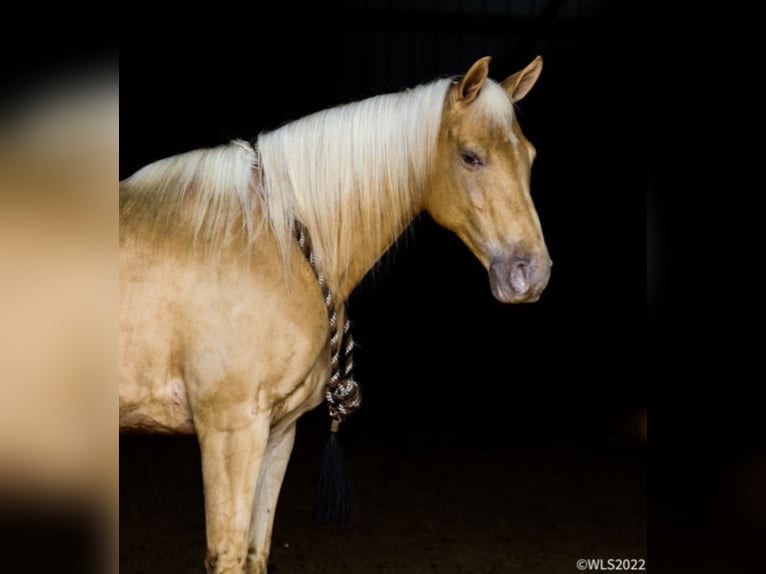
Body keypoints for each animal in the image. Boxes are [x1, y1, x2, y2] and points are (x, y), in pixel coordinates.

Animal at [120, 55, 552, 574]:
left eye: (530, 157)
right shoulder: (229, 429)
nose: (530, 274)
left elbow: (254, 552)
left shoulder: (277, 432)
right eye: (471, 156)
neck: (271, 242)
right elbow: (227, 554)